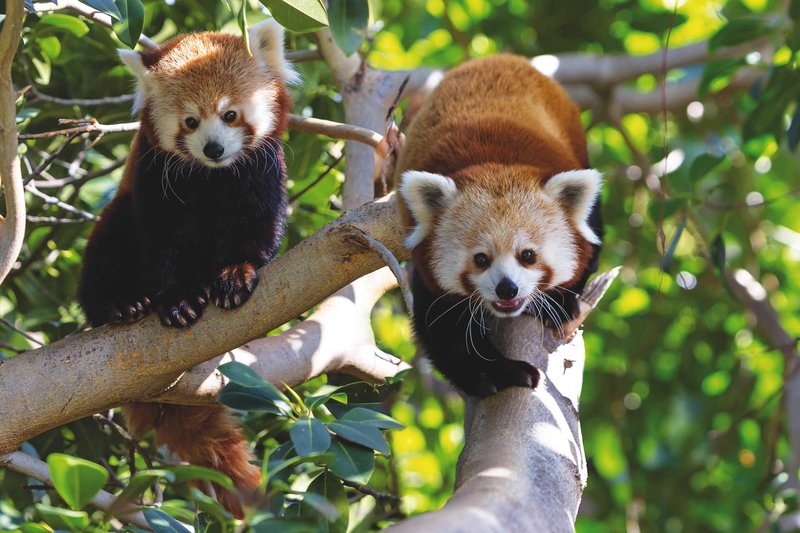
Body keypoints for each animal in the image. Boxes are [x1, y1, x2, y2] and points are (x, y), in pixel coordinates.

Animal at [77, 19, 296, 516]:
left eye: (230, 114)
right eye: (191, 121)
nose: (213, 149)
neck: (212, 177)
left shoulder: (261, 170)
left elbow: (256, 229)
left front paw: (236, 276)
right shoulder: (156, 177)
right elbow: (166, 245)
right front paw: (178, 300)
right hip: (118, 218)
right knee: (109, 245)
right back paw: (120, 305)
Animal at [396, 54, 604, 396]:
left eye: (528, 256)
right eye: (481, 259)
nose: (507, 289)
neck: (494, 163)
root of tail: (498, 57)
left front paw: (560, 302)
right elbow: (444, 330)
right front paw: (501, 373)